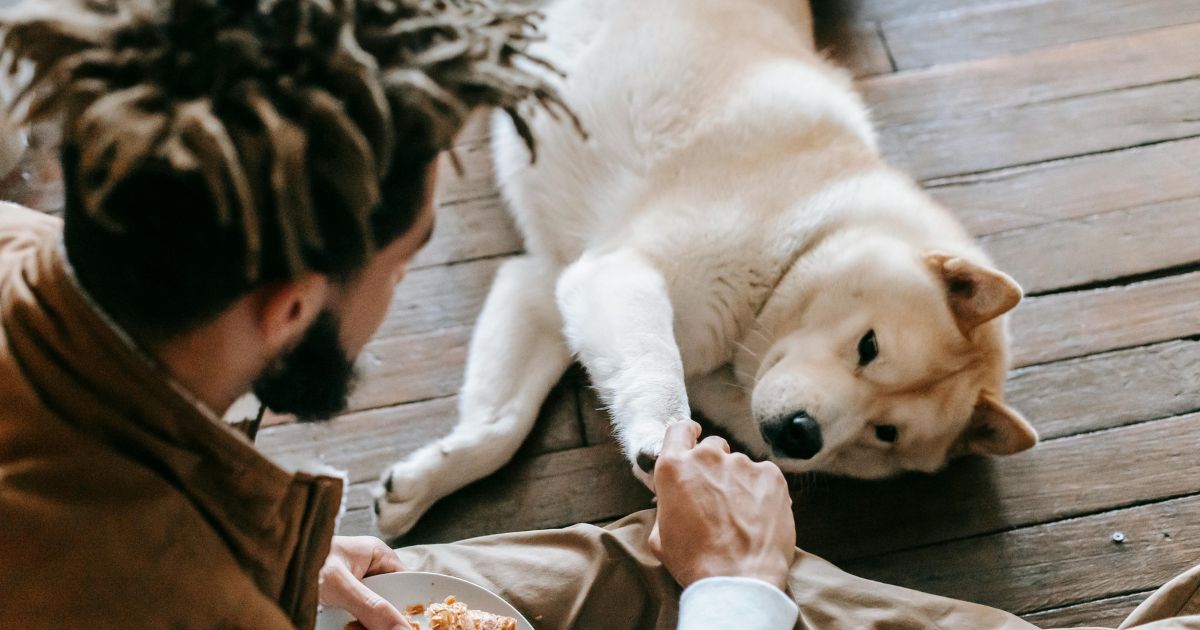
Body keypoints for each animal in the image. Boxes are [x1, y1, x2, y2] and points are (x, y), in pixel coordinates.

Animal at [372, 0, 1032, 535]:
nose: (803, 434)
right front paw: (660, 442)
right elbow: (656, 373)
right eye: (868, 347)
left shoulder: (548, 284)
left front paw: (423, 483)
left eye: (885, 433)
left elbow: (501, 426)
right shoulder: (619, 272)